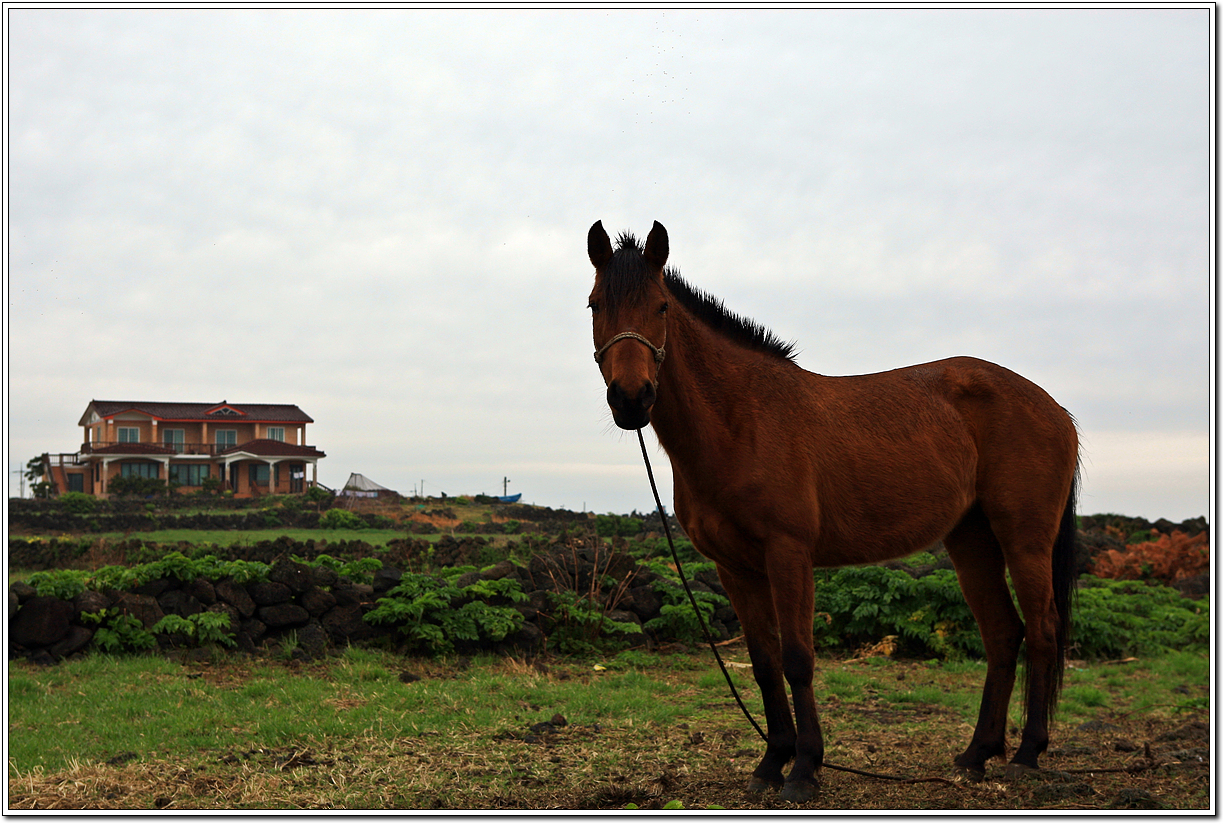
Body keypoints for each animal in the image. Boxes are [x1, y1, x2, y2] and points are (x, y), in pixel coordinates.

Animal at [587, 221, 1077, 798]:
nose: (631, 399)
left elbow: (798, 660)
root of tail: (1054, 408)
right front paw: (771, 763)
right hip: (971, 540)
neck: (741, 418)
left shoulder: (789, 554)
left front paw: (803, 769)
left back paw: (1026, 754)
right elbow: (763, 662)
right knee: (1003, 635)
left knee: (1042, 630)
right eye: (596, 304)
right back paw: (976, 755)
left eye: (661, 306)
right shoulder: (735, 569)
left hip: (1024, 538)